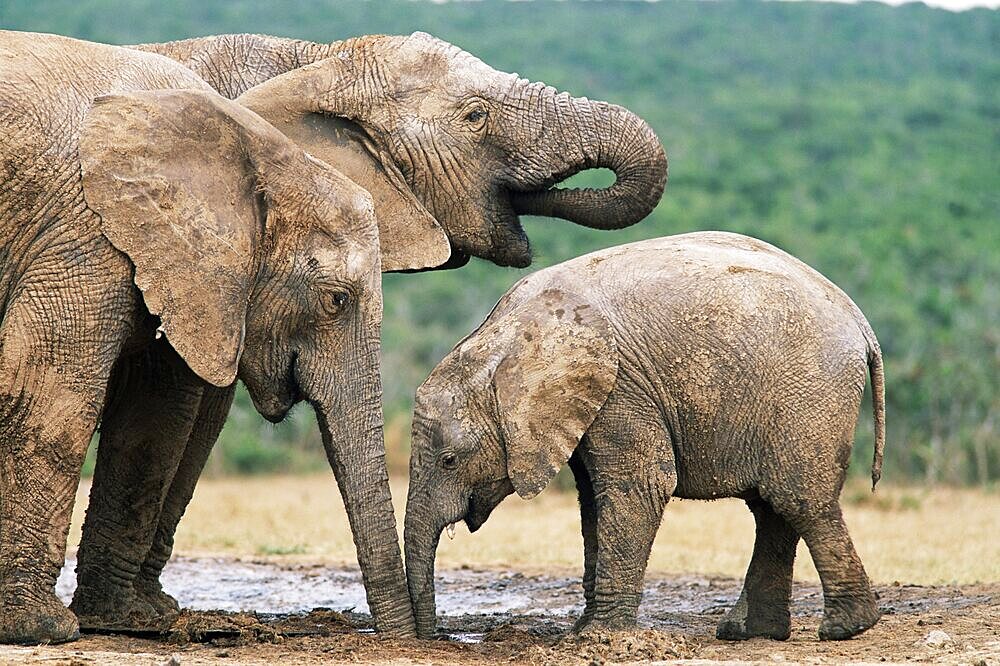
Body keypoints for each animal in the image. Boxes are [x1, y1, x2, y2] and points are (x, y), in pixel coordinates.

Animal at [0, 32, 412, 644]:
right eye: (337, 299)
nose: (406, 638)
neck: (251, 148)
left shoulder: (175, 265)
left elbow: (154, 415)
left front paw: (121, 623)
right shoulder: (85, 237)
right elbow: (47, 401)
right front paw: (39, 629)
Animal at [72, 27, 672, 628]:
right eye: (475, 116)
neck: (321, 59)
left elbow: (201, 413)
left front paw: (153, 608)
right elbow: (191, 408)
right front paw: (147, 613)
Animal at [402, 231, 888, 640]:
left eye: (449, 459)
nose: (437, 637)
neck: (503, 339)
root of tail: (859, 320)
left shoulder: (621, 386)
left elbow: (636, 487)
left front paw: (599, 637)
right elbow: (592, 498)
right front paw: (583, 631)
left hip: (809, 391)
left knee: (797, 497)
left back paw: (845, 628)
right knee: (770, 506)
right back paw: (750, 633)